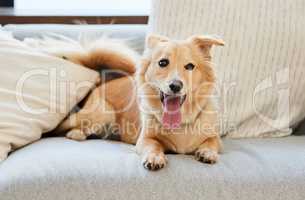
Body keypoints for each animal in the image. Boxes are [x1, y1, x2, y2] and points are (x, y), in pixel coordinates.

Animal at [50, 33, 223, 170]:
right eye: (163, 63)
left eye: (190, 66)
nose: (175, 85)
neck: (180, 124)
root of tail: (102, 83)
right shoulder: (145, 139)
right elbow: (154, 145)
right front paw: (155, 157)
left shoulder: (216, 139)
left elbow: (211, 142)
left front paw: (207, 152)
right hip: (101, 114)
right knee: (67, 127)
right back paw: (76, 133)